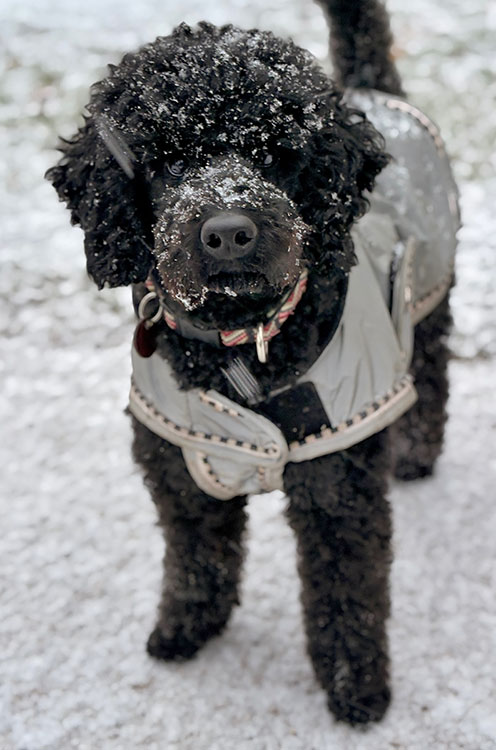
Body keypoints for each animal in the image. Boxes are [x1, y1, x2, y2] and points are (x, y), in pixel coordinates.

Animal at [47, 0, 459, 725]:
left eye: (272, 153)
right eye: (166, 162)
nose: (229, 231)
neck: (244, 344)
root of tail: (371, 89)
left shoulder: (337, 481)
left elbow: (346, 591)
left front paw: (356, 685)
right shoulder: (179, 464)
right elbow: (197, 558)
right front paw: (188, 626)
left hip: (426, 298)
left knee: (431, 380)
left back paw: (416, 453)